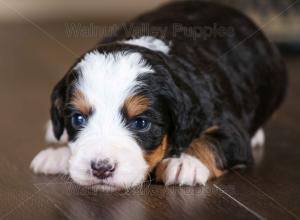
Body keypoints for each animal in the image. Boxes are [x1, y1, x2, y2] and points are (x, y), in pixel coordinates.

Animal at [31, 1, 288, 191]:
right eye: (78, 119)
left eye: (141, 123)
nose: (101, 168)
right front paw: (58, 156)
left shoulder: (231, 130)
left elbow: (213, 141)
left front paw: (185, 162)